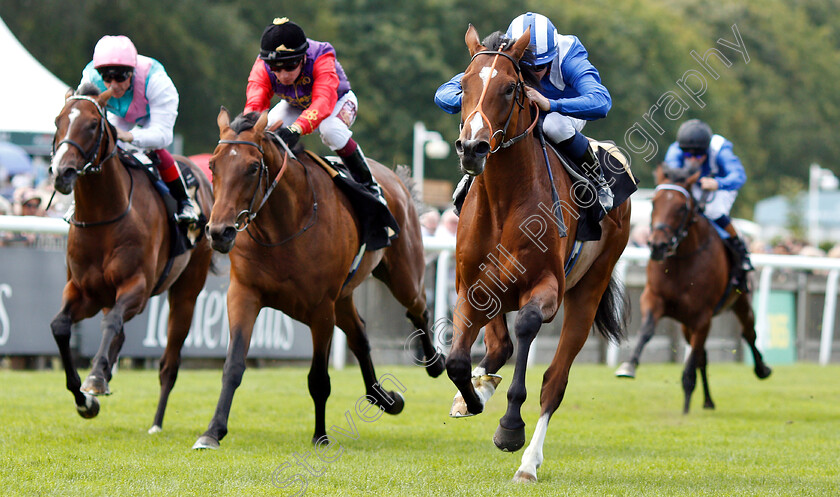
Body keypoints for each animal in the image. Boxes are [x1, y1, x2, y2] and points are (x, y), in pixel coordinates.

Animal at [47, 85, 215, 430]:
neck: (104, 216)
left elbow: (111, 322)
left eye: (92, 125)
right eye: (58, 120)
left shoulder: (135, 286)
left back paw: (156, 422)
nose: (62, 173)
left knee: (169, 363)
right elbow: (60, 326)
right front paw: (84, 399)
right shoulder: (84, 292)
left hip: (186, 292)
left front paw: (95, 379)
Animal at [192, 109, 446, 450]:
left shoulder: (321, 308)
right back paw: (384, 397)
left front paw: (320, 435)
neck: (283, 228)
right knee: (360, 336)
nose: (219, 232)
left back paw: (435, 363)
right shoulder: (243, 294)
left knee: (418, 310)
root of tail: (395, 180)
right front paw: (212, 431)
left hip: (403, 274)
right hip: (345, 296)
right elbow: (233, 365)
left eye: (253, 167)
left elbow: (318, 378)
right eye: (212, 165)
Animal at [446, 26, 632, 480]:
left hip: (589, 288)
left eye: (510, 88)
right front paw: (471, 397)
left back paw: (529, 462)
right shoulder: (471, 288)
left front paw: (509, 428)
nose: (472, 148)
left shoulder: (546, 287)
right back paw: (480, 388)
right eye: (463, 85)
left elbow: (528, 329)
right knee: (499, 346)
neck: (503, 200)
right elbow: (456, 360)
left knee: (555, 381)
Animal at [612, 164, 772, 410]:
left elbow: (691, 365)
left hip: (740, 302)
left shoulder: (702, 316)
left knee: (748, 333)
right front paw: (628, 366)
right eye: (654, 202)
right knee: (702, 357)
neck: (682, 260)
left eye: (681, 207)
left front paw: (686, 406)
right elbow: (647, 329)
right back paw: (707, 400)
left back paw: (761, 369)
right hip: (687, 324)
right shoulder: (654, 298)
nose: (657, 245)